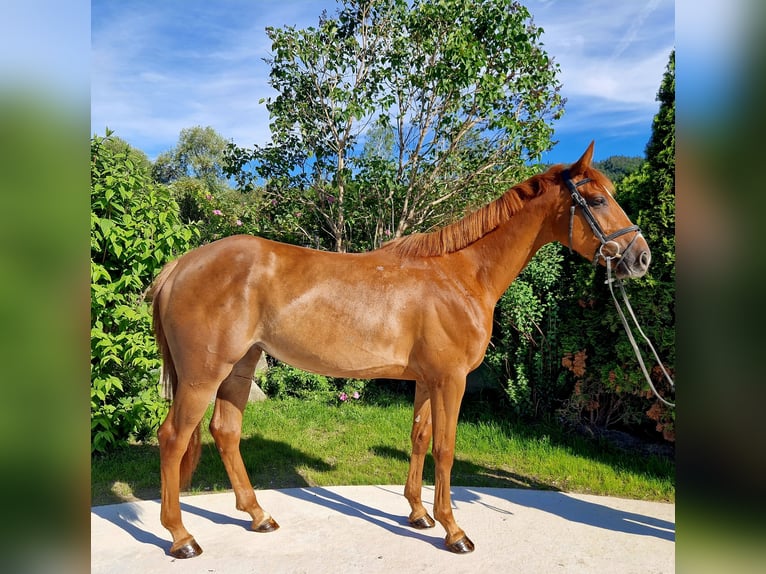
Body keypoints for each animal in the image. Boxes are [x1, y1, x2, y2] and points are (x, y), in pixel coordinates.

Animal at [148, 142, 648, 560]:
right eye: (597, 200)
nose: (641, 257)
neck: (461, 275)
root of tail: (180, 265)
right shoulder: (451, 380)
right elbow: (445, 448)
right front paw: (453, 530)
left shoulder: (428, 380)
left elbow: (420, 439)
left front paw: (418, 514)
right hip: (203, 375)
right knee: (172, 437)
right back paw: (182, 537)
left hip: (241, 365)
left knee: (226, 432)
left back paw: (258, 515)